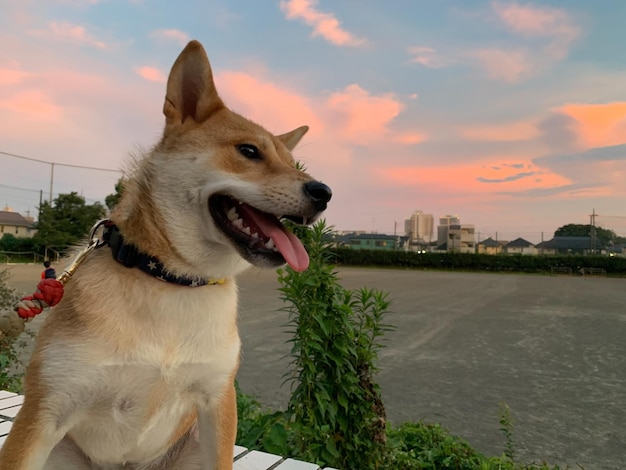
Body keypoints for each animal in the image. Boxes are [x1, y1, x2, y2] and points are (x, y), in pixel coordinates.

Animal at [0, 40, 332, 470]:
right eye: (248, 151)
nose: (324, 192)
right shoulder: (47, 408)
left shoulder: (217, 398)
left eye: (293, 164)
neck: (172, 280)